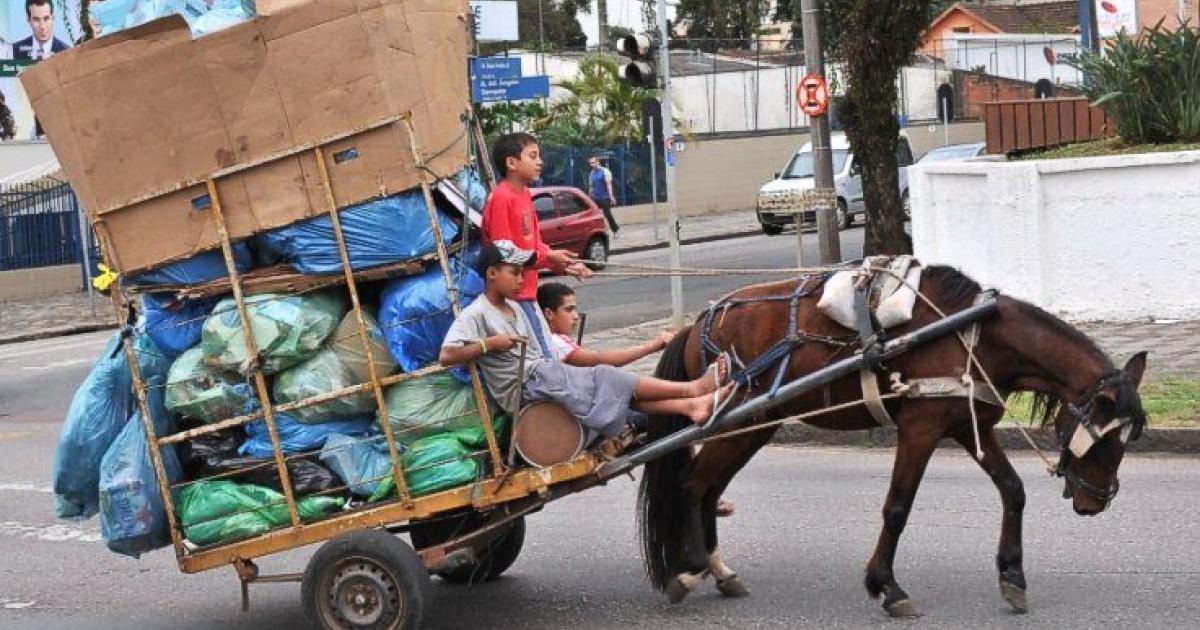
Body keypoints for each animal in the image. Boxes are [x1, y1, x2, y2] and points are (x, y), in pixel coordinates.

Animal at [643, 264, 1147, 614]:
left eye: (1129, 439)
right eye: (1107, 440)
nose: (1095, 502)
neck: (974, 333)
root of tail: (698, 324)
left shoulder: (969, 426)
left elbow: (1013, 491)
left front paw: (1013, 577)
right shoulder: (920, 428)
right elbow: (898, 507)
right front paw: (887, 586)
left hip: (756, 425)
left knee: (710, 490)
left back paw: (719, 570)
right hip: (734, 422)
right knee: (693, 484)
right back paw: (691, 569)